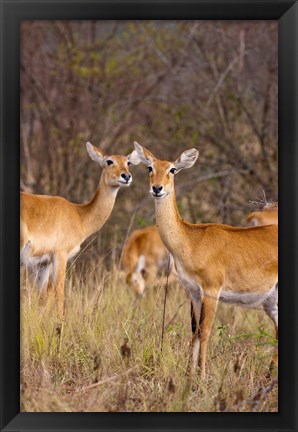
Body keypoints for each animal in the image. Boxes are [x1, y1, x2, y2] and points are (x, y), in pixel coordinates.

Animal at [21, 142, 140, 318]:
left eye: (128, 162)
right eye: (109, 161)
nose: (126, 176)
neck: (79, 215)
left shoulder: (43, 263)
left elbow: (43, 299)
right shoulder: (60, 255)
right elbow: (59, 293)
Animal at [133, 142, 278, 378]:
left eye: (172, 169)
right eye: (150, 168)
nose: (157, 188)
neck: (192, 240)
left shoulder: (211, 291)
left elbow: (206, 331)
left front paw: (201, 376)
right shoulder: (193, 291)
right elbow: (194, 331)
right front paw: (189, 375)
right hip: (270, 301)